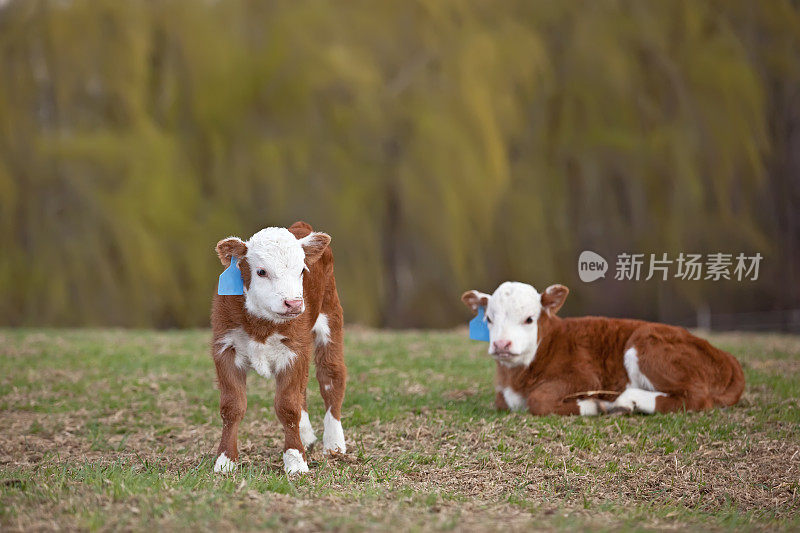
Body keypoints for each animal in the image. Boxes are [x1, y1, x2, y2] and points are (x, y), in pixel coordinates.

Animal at [211, 220, 346, 474]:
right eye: (261, 271)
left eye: (302, 270)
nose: (293, 303)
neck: (261, 326)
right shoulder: (225, 348)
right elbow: (232, 406)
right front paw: (225, 460)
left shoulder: (294, 351)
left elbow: (287, 406)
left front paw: (295, 460)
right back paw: (307, 435)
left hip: (330, 315)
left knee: (331, 377)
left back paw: (334, 444)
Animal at [462, 280, 744, 414]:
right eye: (489, 319)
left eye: (529, 319)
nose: (501, 344)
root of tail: (727, 358)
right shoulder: (504, 393)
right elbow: (502, 401)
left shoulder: (584, 377)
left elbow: (539, 399)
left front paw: (593, 406)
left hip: (646, 344)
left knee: (697, 397)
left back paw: (627, 400)